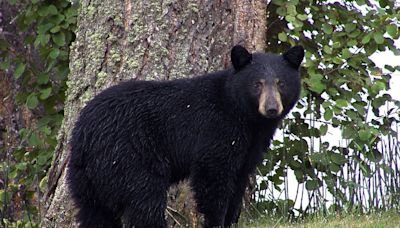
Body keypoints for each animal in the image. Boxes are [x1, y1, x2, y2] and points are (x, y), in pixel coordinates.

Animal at [67, 45, 304, 228]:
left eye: (281, 83)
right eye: (257, 84)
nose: (271, 108)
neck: (245, 116)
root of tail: (84, 134)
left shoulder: (251, 145)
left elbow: (239, 180)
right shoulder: (216, 130)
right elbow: (213, 177)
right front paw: (216, 221)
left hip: (86, 177)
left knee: (94, 211)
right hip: (129, 157)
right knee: (144, 200)